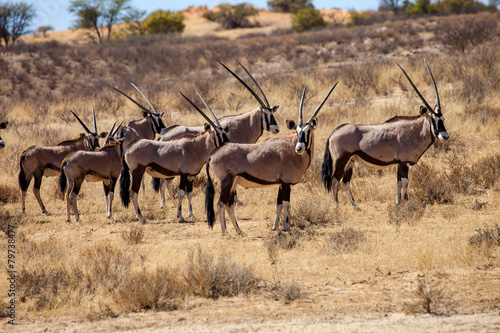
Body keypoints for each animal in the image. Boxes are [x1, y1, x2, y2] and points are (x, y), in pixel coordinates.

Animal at [121, 91, 230, 223]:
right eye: (217, 134)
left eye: (224, 132)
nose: (228, 143)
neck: (196, 147)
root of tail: (129, 148)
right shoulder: (184, 174)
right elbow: (181, 193)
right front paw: (180, 216)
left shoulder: (191, 176)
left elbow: (189, 193)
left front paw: (191, 215)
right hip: (137, 171)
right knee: (133, 192)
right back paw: (140, 217)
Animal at [155, 58, 282, 206]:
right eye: (266, 114)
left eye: (272, 112)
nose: (276, 129)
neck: (241, 126)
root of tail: (162, 134)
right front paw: (237, 201)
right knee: (164, 181)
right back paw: (164, 204)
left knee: (166, 181)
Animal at [205, 82, 338, 235]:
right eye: (297, 131)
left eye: (308, 131)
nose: (299, 148)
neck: (291, 148)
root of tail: (212, 155)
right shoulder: (286, 183)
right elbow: (286, 204)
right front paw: (287, 228)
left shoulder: (280, 183)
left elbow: (278, 204)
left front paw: (275, 227)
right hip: (226, 182)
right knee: (220, 204)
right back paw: (225, 232)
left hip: (232, 184)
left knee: (229, 205)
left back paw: (239, 231)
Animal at [322, 60, 452, 208]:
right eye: (432, 119)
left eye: (442, 119)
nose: (445, 135)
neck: (414, 132)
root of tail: (333, 133)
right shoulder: (404, 162)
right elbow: (405, 182)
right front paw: (406, 204)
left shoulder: (399, 163)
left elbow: (398, 182)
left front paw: (398, 203)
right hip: (341, 160)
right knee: (335, 180)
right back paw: (336, 207)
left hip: (351, 161)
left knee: (345, 181)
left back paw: (356, 207)